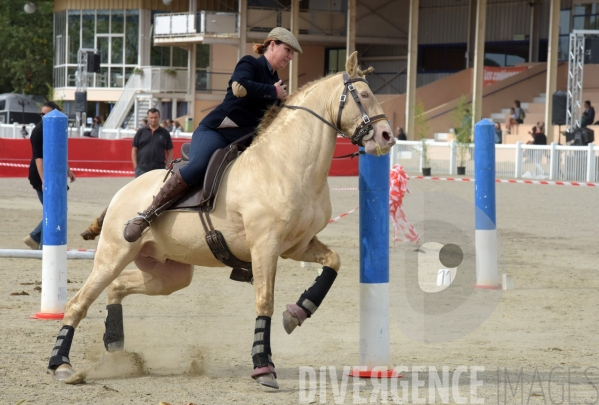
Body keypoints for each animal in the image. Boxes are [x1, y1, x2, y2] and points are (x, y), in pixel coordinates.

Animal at [49, 51, 396, 388]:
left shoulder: (297, 245)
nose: (387, 137)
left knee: (117, 287)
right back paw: (62, 365)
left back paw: (115, 347)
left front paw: (298, 312)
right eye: (364, 94)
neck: (287, 164)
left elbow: (333, 263)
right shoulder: (265, 247)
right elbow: (264, 301)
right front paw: (263, 367)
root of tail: (122, 194)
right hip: (114, 254)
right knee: (79, 302)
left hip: (169, 274)